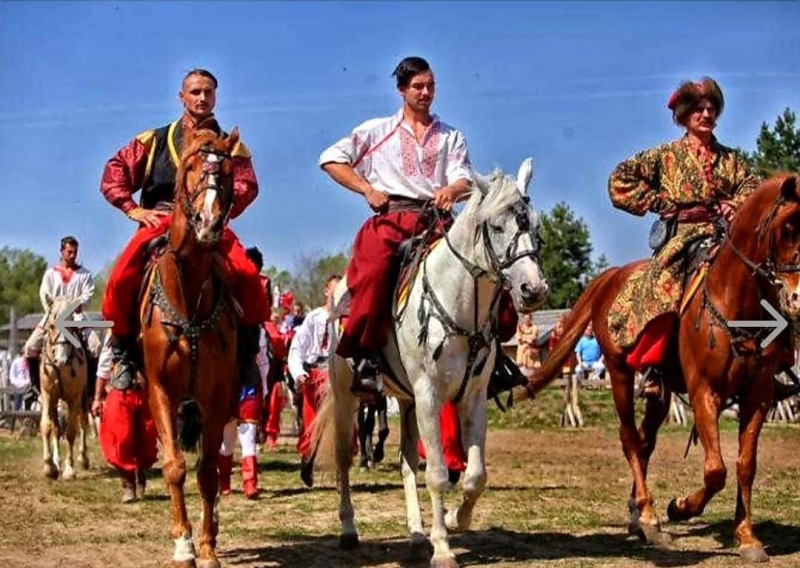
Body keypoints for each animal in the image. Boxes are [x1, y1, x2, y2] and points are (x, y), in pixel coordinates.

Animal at [39, 298, 90, 480]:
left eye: (71, 326)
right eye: (51, 325)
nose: (60, 360)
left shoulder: (75, 397)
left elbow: (71, 431)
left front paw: (69, 469)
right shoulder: (48, 395)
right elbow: (47, 426)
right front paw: (49, 466)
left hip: (84, 399)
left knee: (83, 423)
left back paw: (83, 459)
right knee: (56, 428)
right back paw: (56, 461)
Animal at [312, 159, 552, 568]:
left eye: (535, 227)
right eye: (497, 226)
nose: (533, 290)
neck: (460, 304)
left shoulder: (471, 398)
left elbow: (475, 474)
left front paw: (456, 519)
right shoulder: (428, 395)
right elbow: (439, 473)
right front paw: (443, 548)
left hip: (406, 402)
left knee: (407, 461)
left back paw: (415, 534)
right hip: (348, 396)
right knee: (344, 457)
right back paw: (348, 529)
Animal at [520, 174, 800, 564]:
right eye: (787, 228)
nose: (797, 297)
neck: (735, 301)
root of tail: (611, 276)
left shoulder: (758, 396)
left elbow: (745, 465)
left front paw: (747, 537)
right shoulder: (703, 392)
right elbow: (715, 470)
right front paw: (679, 507)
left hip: (660, 393)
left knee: (645, 442)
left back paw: (637, 515)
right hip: (620, 374)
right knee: (629, 439)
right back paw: (650, 518)